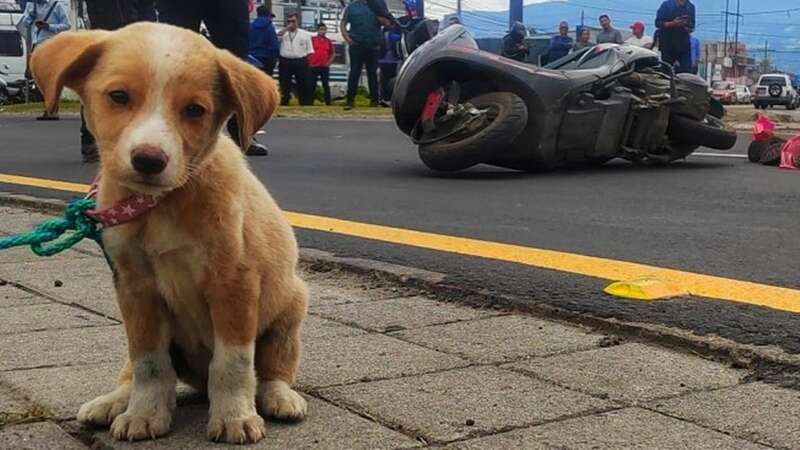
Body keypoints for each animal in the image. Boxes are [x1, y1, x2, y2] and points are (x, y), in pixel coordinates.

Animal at [30, 22, 306, 444]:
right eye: (119, 97)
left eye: (194, 110)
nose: (148, 160)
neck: (162, 205)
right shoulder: (135, 288)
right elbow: (149, 364)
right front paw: (144, 414)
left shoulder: (235, 283)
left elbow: (234, 363)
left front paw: (234, 417)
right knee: (134, 370)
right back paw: (113, 402)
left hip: (290, 307)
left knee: (272, 367)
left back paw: (279, 397)